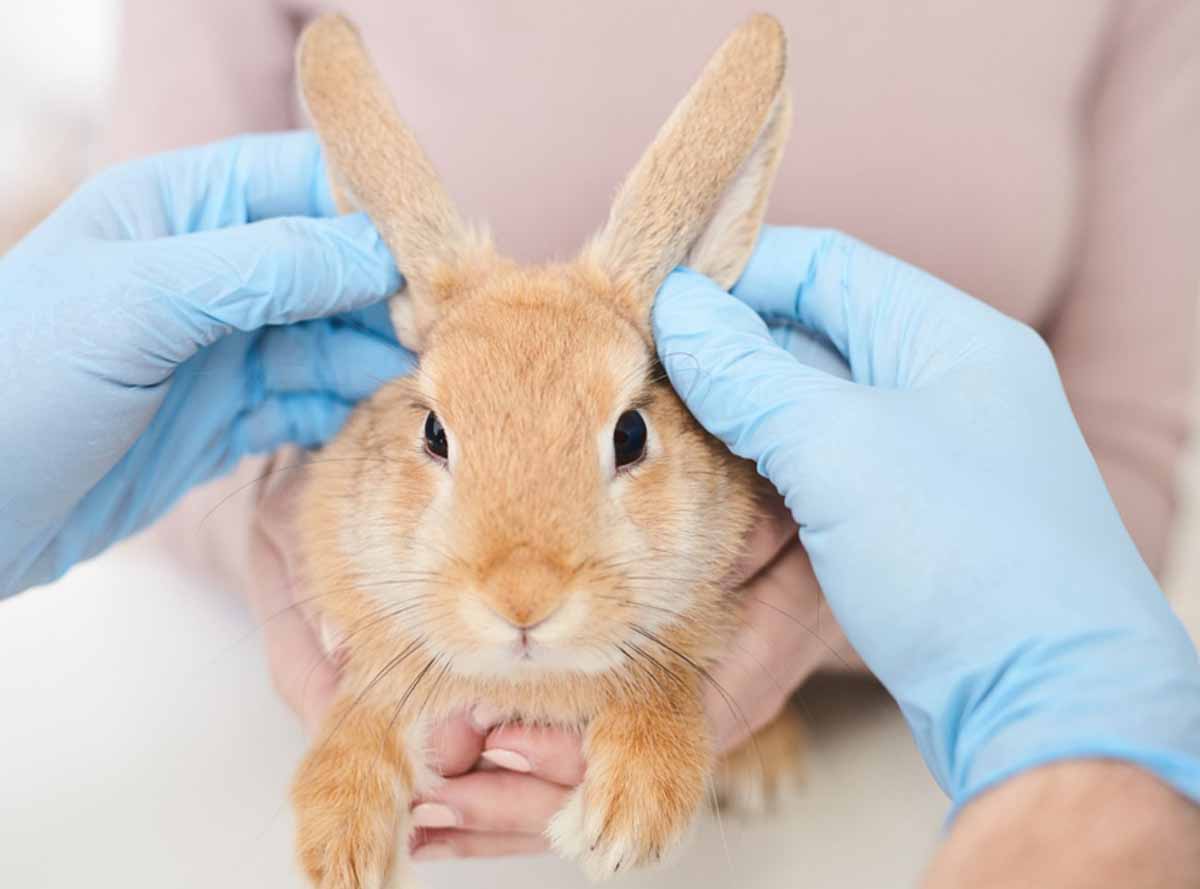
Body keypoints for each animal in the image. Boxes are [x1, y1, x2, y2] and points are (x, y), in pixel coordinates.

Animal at [292, 13, 806, 887]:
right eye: (433, 431)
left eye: (631, 433)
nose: (522, 597)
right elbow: (365, 707)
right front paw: (341, 842)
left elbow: (662, 682)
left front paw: (625, 819)